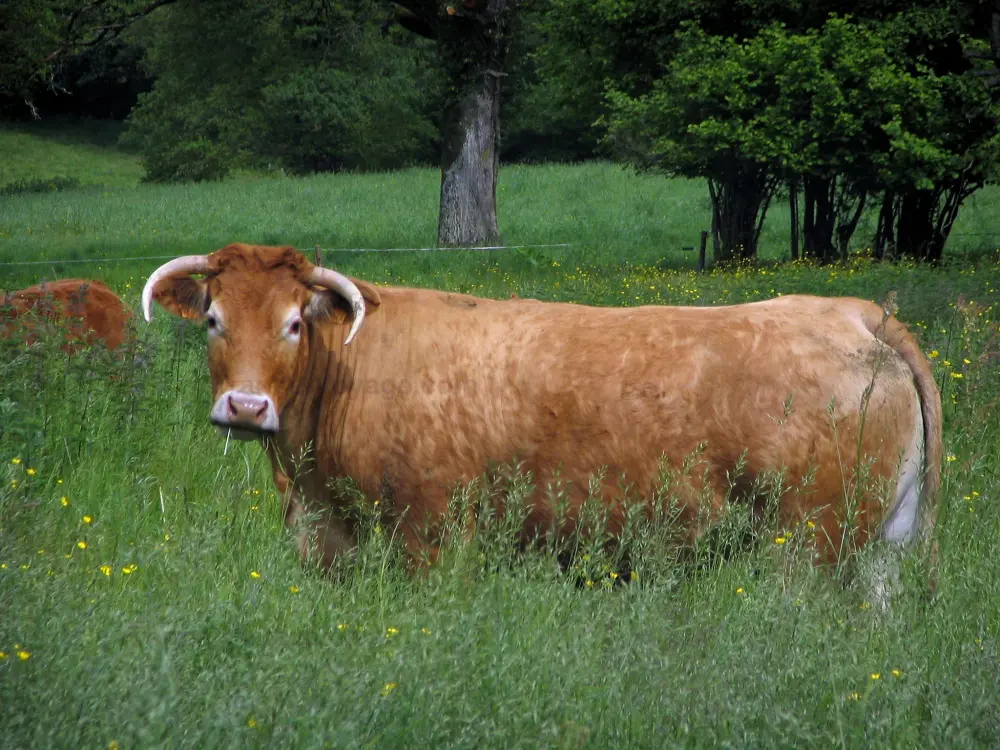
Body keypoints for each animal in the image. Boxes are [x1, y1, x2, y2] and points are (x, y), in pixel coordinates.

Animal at [143, 244, 944, 584]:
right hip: (885, 549)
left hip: (807, 545)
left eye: (292, 325)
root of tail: (853, 311)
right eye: (212, 319)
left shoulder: (435, 539)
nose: (247, 406)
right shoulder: (325, 540)